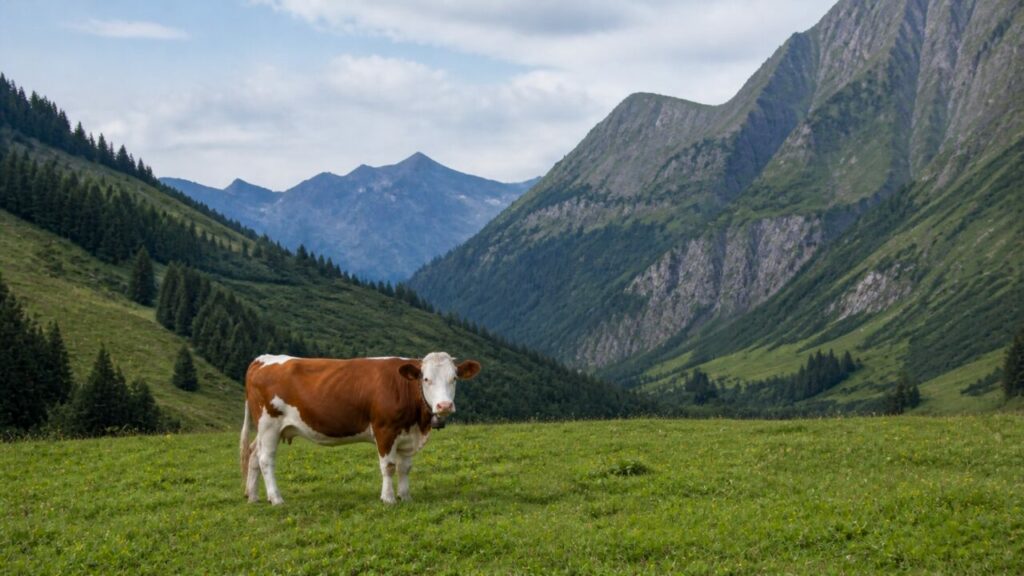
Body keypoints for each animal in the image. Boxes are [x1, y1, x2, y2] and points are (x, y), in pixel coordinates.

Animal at [239, 352, 481, 505]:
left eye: (454, 378)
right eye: (426, 379)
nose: (444, 406)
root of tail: (263, 359)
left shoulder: (407, 436)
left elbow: (405, 468)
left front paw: (405, 496)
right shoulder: (385, 430)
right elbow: (389, 466)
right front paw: (389, 499)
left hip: (267, 429)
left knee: (253, 454)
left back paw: (253, 496)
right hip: (269, 424)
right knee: (265, 459)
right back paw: (276, 498)